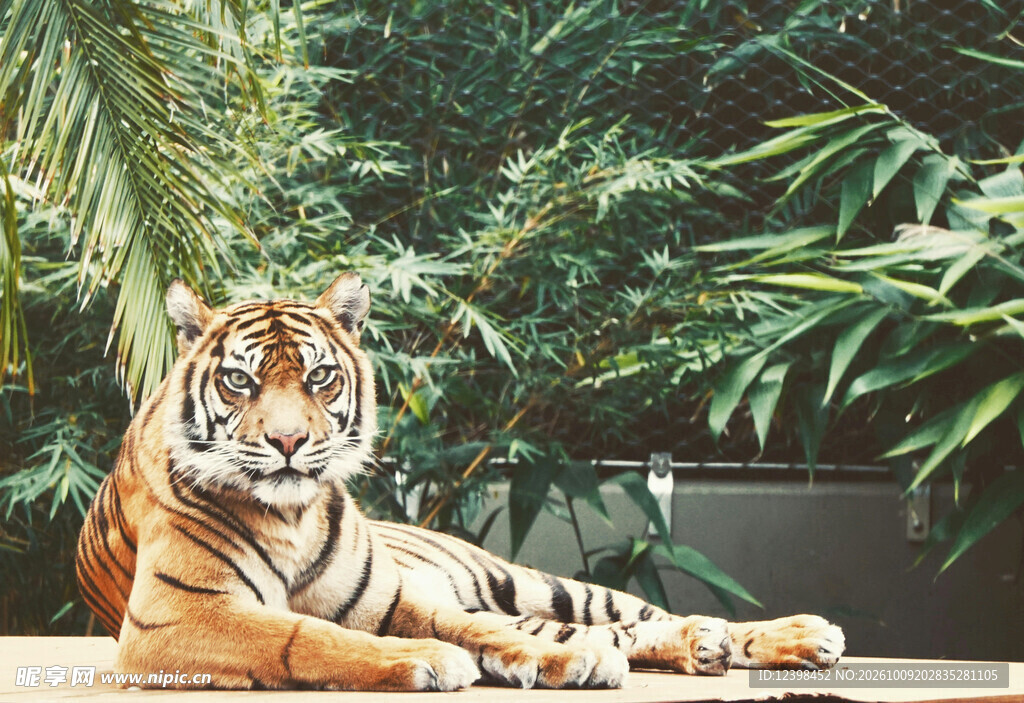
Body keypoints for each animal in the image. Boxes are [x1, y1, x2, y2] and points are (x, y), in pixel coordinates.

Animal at [75, 273, 845, 691]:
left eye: (320, 377)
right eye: (240, 381)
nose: (290, 442)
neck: (291, 514)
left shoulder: (394, 597)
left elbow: (471, 625)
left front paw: (550, 658)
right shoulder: (178, 617)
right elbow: (306, 635)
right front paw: (431, 659)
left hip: (529, 580)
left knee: (627, 613)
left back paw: (796, 635)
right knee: (619, 628)